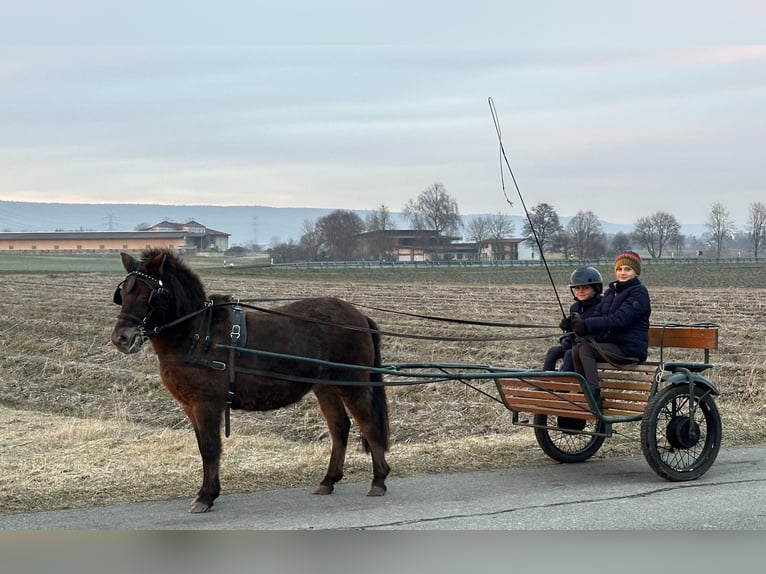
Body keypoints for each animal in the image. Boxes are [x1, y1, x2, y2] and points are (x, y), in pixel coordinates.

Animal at [111, 248, 392, 512]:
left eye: (148, 294)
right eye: (123, 294)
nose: (121, 338)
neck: (198, 334)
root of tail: (359, 316)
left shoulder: (206, 404)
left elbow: (211, 448)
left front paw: (206, 496)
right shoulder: (190, 406)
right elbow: (203, 447)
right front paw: (207, 492)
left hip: (353, 384)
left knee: (369, 425)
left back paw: (379, 480)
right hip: (326, 389)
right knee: (339, 427)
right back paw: (328, 480)